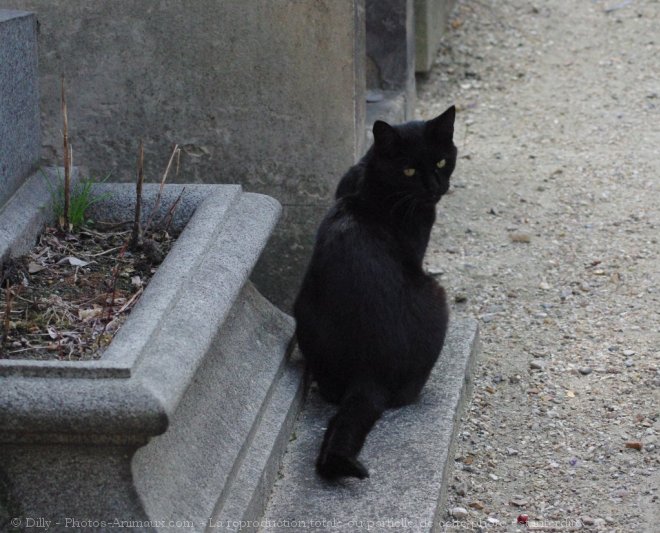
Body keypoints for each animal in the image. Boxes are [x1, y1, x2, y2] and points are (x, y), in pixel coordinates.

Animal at [296, 106, 456, 480]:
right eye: (409, 170)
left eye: (441, 161)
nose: (435, 187)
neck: (371, 182)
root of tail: (369, 374)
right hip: (436, 296)